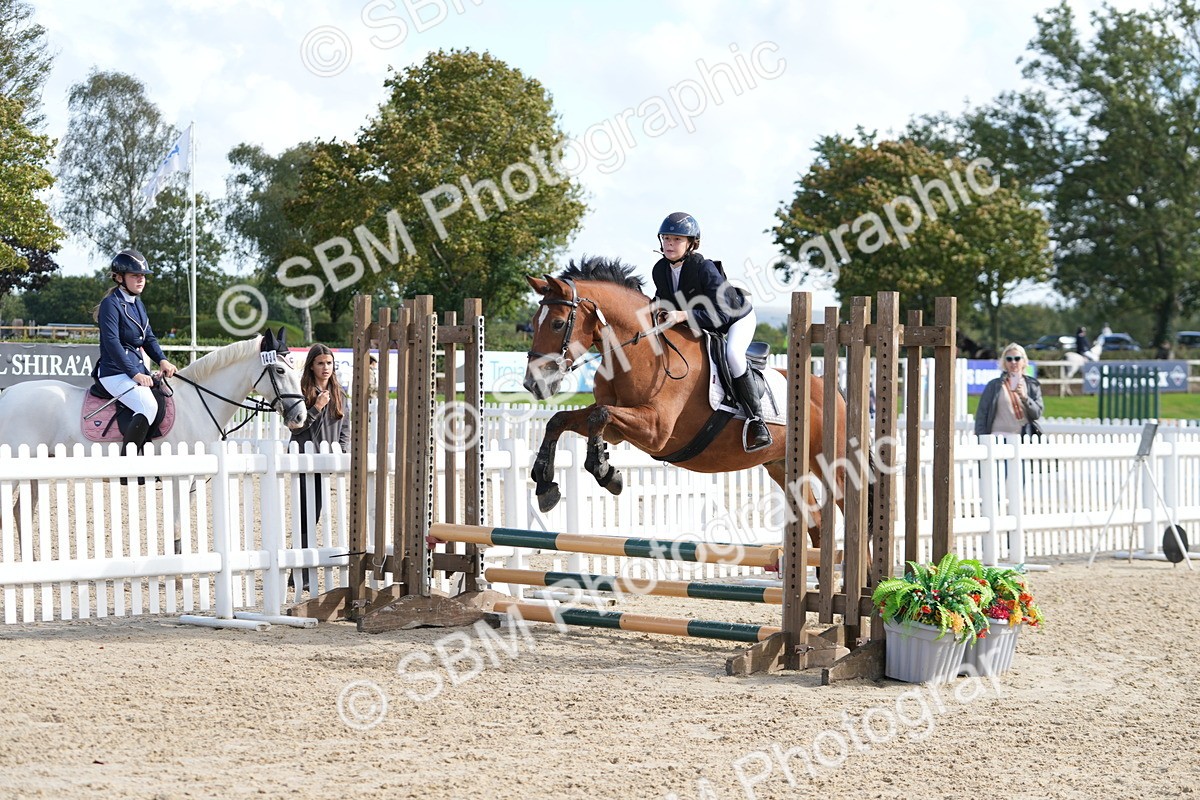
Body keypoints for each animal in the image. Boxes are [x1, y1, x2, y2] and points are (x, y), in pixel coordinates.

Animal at [0, 329, 308, 552]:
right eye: (280, 371)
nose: (300, 416)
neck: (196, 402)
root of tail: (8, 394)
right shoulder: (179, 477)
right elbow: (176, 525)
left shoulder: (190, 482)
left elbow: (181, 525)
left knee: (20, 512)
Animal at [522, 257, 848, 550]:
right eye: (533, 324)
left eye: (557, 323)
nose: (533, 384)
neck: (641, 352)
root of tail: (830, 389)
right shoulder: (617, 429)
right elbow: (563, 420)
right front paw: (546, 484)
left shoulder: (655, 430)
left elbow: (599, 416)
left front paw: (605, 471)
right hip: (782, 465)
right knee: (817, 524)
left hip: (832, 465)